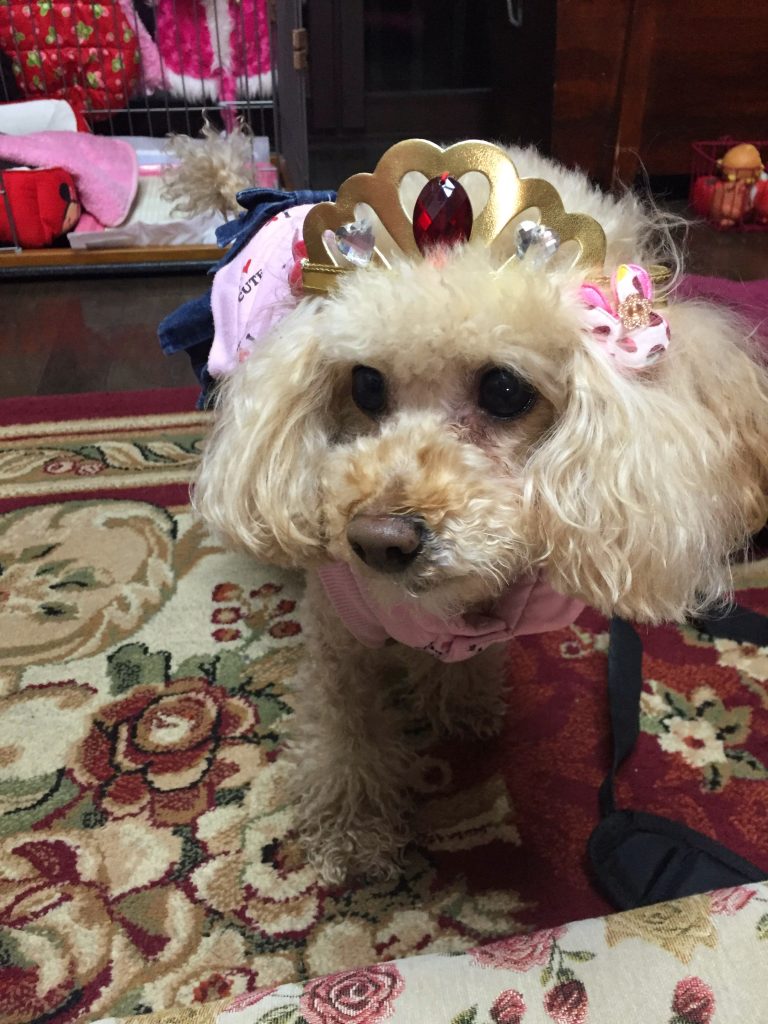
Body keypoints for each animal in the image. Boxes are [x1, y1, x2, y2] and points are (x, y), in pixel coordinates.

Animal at [193, 140, 768, 884]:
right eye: (365, 385)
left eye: (503, 390)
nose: (376, 541)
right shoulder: (338, 633)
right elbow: (344, 724)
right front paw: (352, 832)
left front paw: (459, 698)